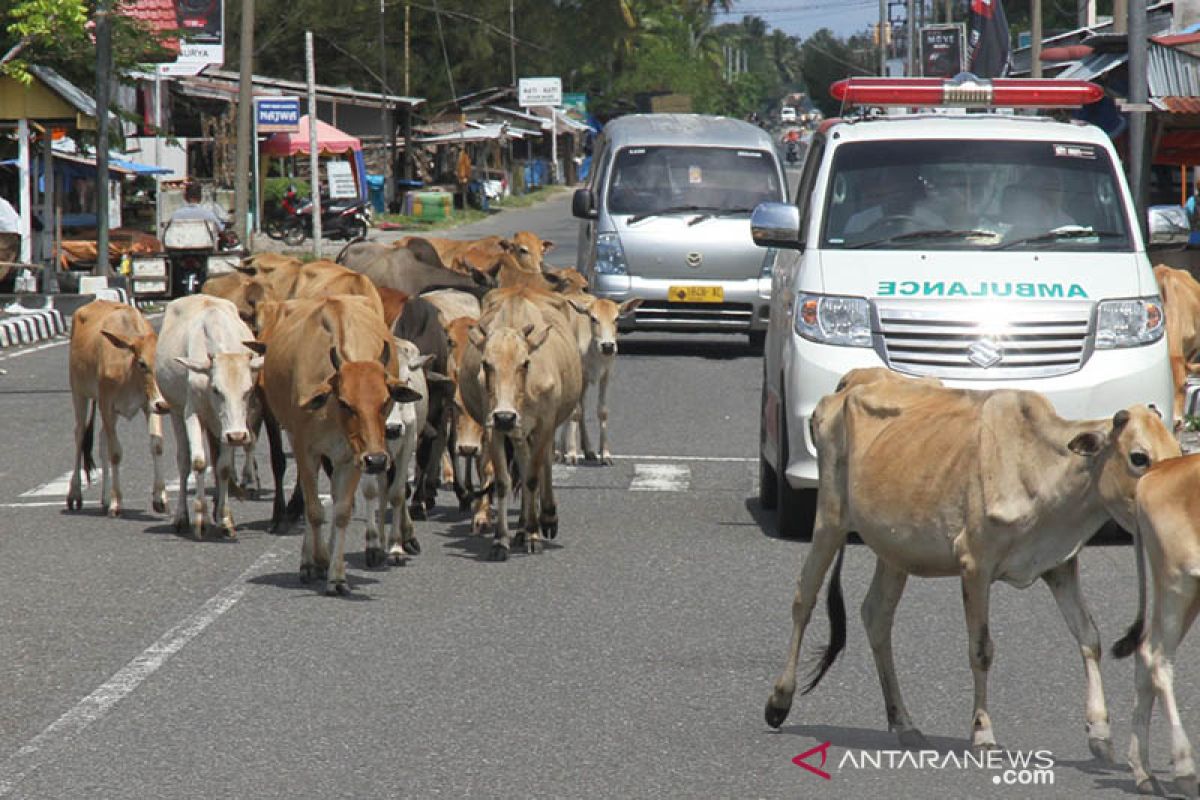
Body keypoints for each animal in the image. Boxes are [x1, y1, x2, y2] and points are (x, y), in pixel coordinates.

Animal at [66, 297, 169, 515]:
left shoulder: (150, 405)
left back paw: (104, 498)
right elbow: (115, 453)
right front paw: (116, 502)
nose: (164, 404)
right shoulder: (106, 404)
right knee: (80, 434)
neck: (127, 368)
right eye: (142, 363)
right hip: (79, 393)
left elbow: (156, 445)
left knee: (102, 439)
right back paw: (75, 493)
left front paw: (160, 498)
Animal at [156, 293, 264, 537]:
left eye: (248, 390)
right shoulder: (192, 413)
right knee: (184, 460)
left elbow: (223, 468)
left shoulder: (228, 426)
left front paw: (225, 519)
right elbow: (198, 462)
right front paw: (200, 518)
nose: (237, 436)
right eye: (216, 389)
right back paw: (182, 517)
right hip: (176, 411)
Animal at [259, 297, 417, 597]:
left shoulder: (353, 456)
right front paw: (315, 562)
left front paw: (337, 576)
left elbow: (342, 512)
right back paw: (312, 560)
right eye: (345, 402)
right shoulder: (305, 450)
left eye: (385, 401)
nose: (378, 461)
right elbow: (314, 511)